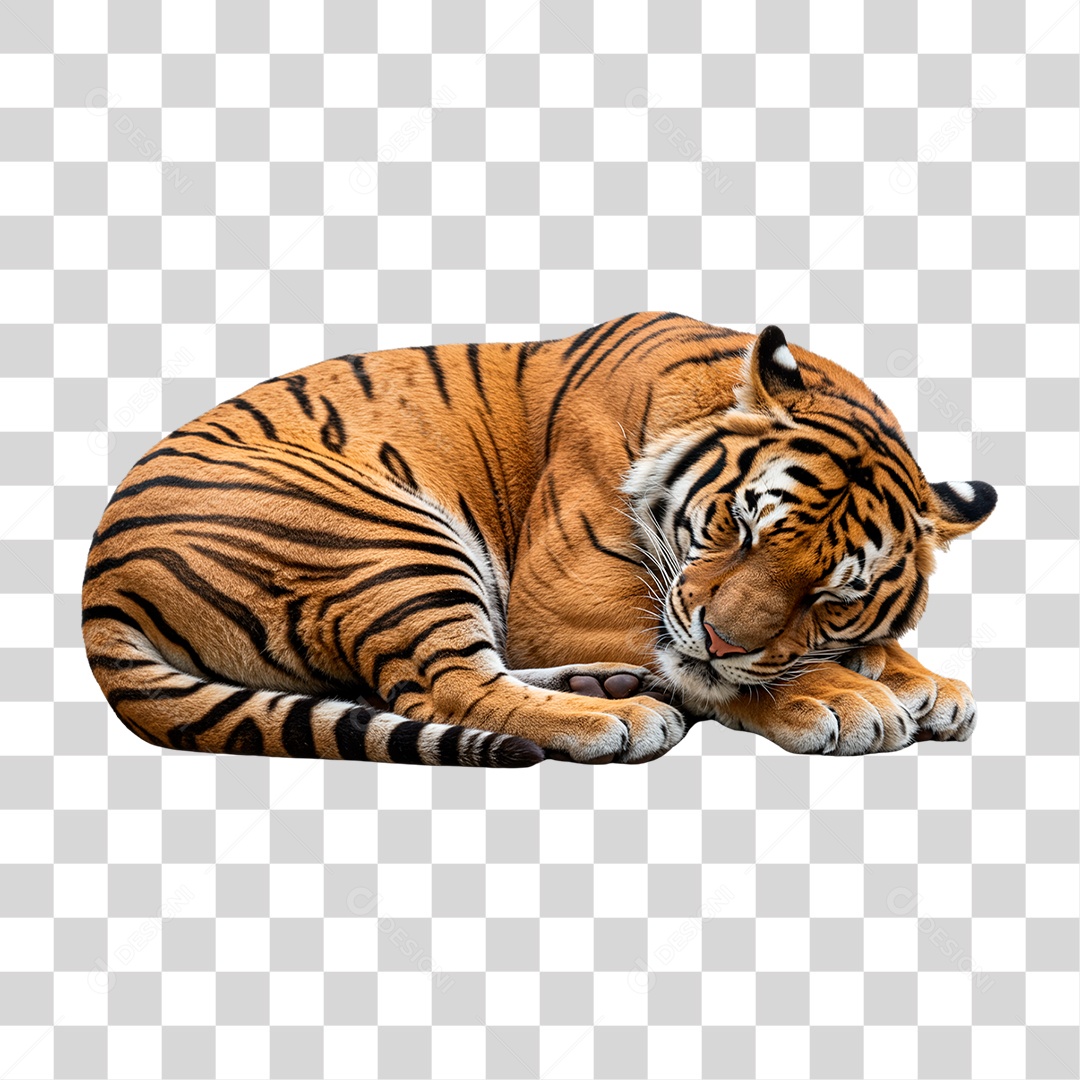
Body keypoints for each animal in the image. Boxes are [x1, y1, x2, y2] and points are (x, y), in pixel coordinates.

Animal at [82, 313, 997, 767]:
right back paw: (621, 715)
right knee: (444, 688)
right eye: (738, 526)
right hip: (389, 539)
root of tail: (98, 582)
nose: (723, 638)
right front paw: (848, 700)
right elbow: (728, 672)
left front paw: (919, 680)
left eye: (833, 593)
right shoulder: (564, 601)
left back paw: (609, 683)